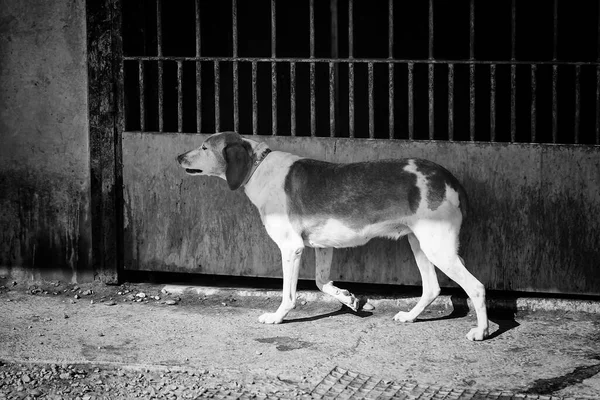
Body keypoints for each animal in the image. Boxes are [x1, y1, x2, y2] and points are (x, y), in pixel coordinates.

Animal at [176, 131, 490, 340]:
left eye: (204, 146)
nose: (178, 156)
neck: (258, 166)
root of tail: (448, 177)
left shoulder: (291, 248)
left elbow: (289, 295)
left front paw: (277, 318)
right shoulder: (321, 246)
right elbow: (321, 282)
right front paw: (349, 299)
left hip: (438, 249)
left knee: (476, 287)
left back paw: (482, 331)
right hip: (420, 245)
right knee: (432, 288)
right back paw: (411, 316)